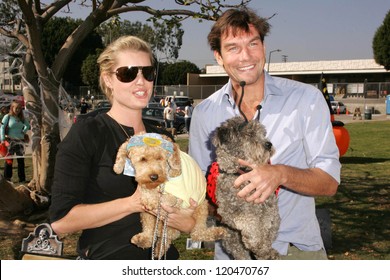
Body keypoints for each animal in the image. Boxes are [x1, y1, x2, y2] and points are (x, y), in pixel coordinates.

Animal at [112, 132, 225, 260]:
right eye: (143, 159)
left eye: (160, 158)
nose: (154, 177)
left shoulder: (178, 197)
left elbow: (164, 198)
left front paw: (151, 199)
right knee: (156, 232)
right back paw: (147, 241)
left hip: (201, 208)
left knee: (195, 233)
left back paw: (217, 232)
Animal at [213, 116, 280, 260]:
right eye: (249, 134)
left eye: (262, 133)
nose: (269, 144)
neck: (244, 173)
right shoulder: (232, 211)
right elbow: (250, 225)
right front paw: (258, 245)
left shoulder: (269, 209)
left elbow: (267, 227)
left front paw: (265, 250)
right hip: (232, 239)